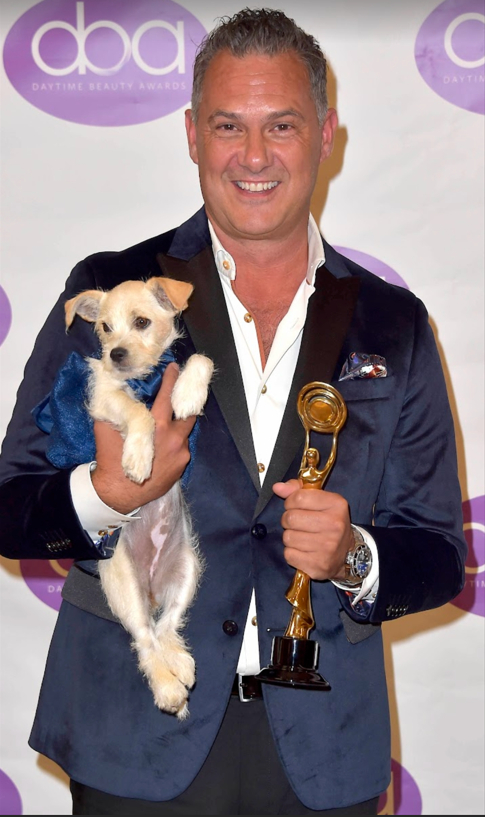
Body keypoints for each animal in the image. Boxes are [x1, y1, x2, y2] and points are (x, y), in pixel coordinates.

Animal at [64, 276, 214, 719]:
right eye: (105, 328)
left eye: (142, 322)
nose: (115, 354)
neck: (147, 379)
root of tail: (149, 589)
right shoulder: (104, 397)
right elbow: (138, 412)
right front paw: (138, 456)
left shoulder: (176, 362)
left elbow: (199, 357)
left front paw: (187, 394)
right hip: (124, 585)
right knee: (145, 638)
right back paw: (168, 687)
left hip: (187, 571)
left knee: (166, 626)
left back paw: (179, 662)